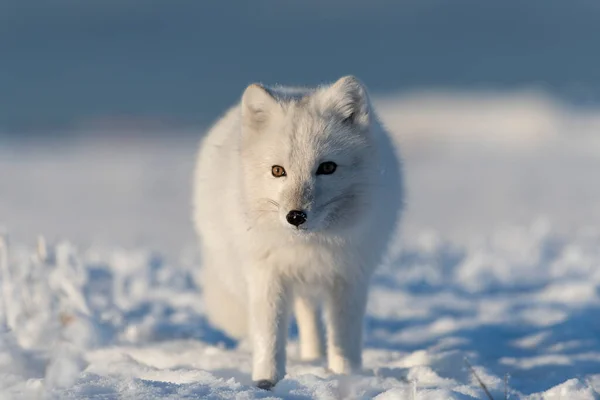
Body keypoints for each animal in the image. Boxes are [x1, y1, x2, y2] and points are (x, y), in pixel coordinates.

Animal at [193, 74, 404, 388]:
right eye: (277, 171)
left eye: (327, 167)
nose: (295, 217)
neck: (310, 246)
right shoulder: (267, 275)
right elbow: (270, 335)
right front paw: (266, 380)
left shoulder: (349, 277)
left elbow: (344, 337)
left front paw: (346, 376)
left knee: (310, 316)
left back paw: (314, 358)